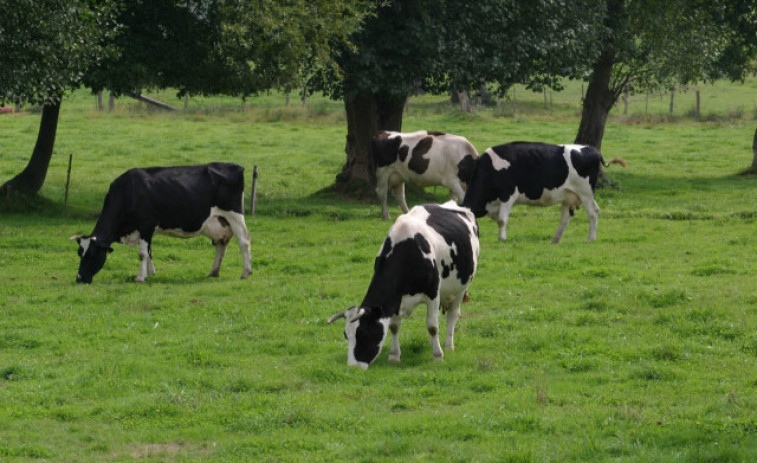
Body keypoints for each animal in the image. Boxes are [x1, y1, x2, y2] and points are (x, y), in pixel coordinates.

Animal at [70, 163, 251, 286]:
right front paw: (151, 273)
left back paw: (246, 272)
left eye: (91, 255)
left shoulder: (146, 224)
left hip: (234, 215)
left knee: (244, 241)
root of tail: (235, 166)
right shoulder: (147, 230)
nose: (79, 279)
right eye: (79, 254)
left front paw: (140, 277)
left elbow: (142, 253)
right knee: (221, 244)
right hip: (221, 222)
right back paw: (213, 272)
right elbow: (149, 251)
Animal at [326, 201, 478, 372]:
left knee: (452, 315)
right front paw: (394, 355)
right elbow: (394, 326)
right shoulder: (395, 300)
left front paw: (438, 356)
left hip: (461, 288)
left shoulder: (433, 293)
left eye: (364, 334)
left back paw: (448, 345)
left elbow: (432, 326)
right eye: (346, 335)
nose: (353, 367)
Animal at [460, 141, 628, 243]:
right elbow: (499, 220)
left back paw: (591, 238)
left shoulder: (508, 195)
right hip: (568, 195)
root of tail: (593, 150)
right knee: (565, 218)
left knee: (593, 212)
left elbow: (502, 220)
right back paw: (555, 240)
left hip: (585, 193)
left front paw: (502, 239)